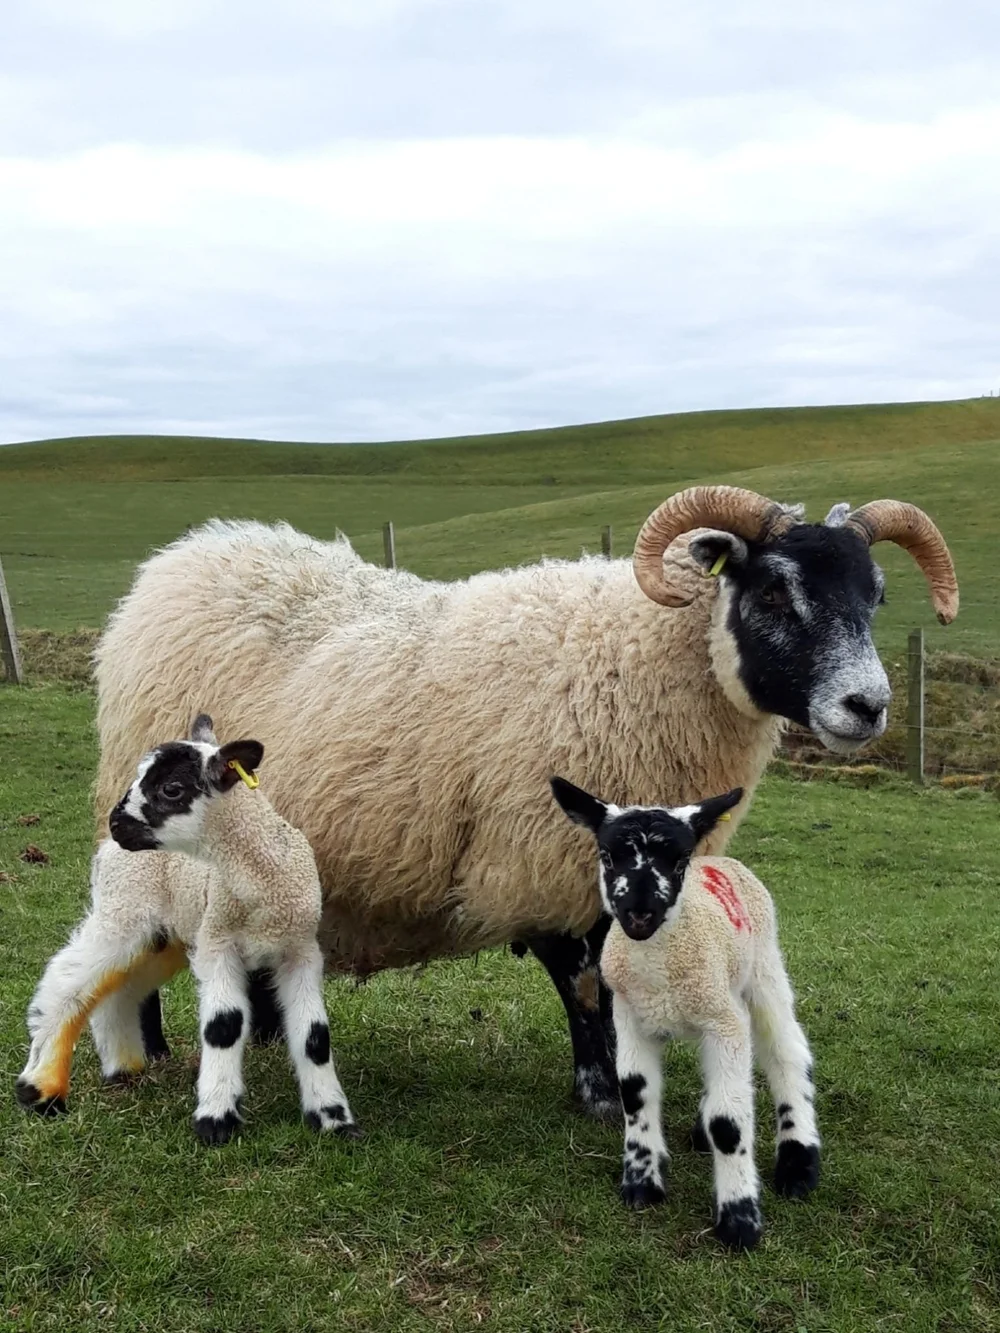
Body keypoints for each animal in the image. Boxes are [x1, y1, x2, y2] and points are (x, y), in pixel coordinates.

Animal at [16, 715, 358, 1146]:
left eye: (171, 789)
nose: (117, 823)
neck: (262, 884)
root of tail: (106, 850)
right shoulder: (218, 941)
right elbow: (224, 1026)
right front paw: (216, 1119)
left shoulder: (300, 950)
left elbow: (315, 1037)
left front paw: (334, 1119)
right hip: (123, 911)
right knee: (67, 981)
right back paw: (40, 1089)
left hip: (163, 936)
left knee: (121, 991)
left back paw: (122, 1069)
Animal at [89, 485, 957, 1118]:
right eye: (774, 591)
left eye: (876, 595)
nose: (868, 706)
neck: (642, 658)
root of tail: (181, 559)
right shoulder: (541, 854)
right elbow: (585, 982)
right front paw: (603, 1093)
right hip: (150, 824)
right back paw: (151, 1051)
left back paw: (267, 1033)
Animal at [551, 776, 819, 1251]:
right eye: (607, 856)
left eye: (678, 861)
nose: (639, 914)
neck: (660, 973)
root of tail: (723, 859)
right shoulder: (630, 1016)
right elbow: (636, 1094)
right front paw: (641, 1183)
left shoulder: (722, 1022)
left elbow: (729, 1124)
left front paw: (739, 1221)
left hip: (762, 967)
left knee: (787, 1051)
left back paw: (798, 1163)